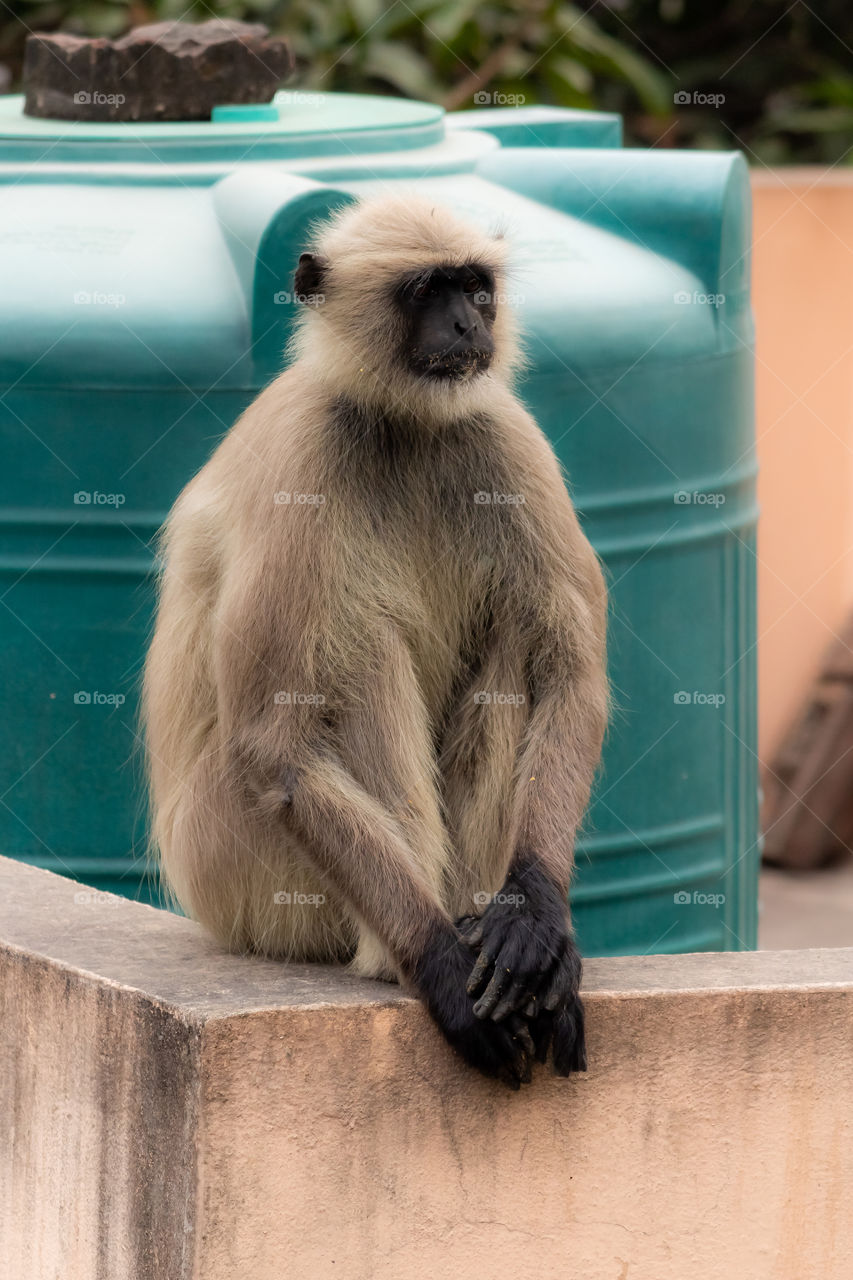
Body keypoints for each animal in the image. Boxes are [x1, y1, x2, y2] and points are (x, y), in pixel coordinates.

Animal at [142, 193, 608, 1089]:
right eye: (426, 290)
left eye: (474, 286)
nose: (467, 324)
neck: (405, 424)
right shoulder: (306, 454)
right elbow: (278, 749)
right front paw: (440, 968)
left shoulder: (503, 433)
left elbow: (571, 677)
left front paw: (534, 918)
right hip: (233, 869)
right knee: (358, 650)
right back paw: (408, 956)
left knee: (514, 642)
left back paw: (493, 934)